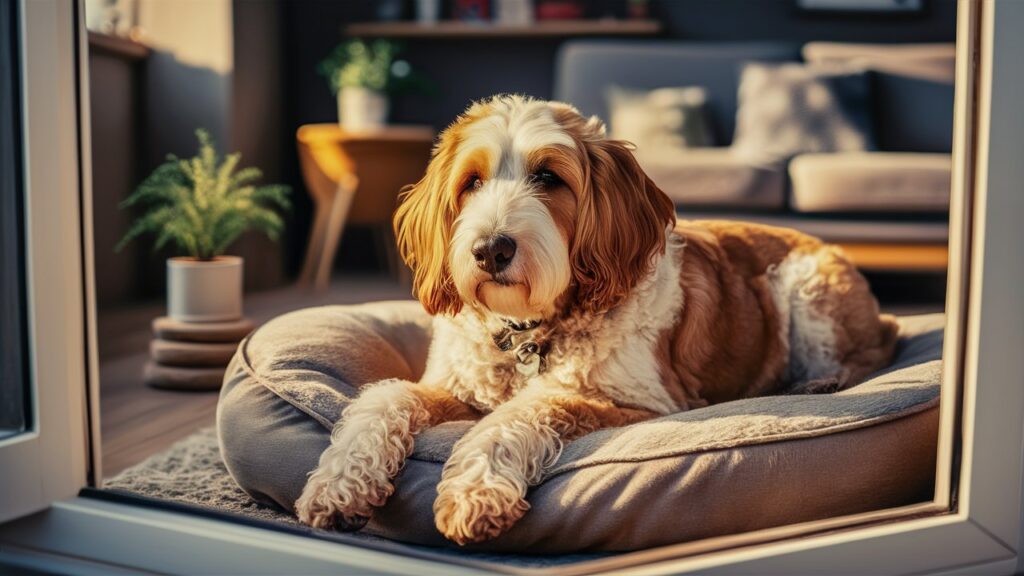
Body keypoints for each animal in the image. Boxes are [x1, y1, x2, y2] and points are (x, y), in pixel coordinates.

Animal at [294, 94, 897, 541]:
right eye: (471, 183)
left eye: (548, 178)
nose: (490, 249)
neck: (530, 332)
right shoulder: (455, 387)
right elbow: (386, 395)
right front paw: (339, 482)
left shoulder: (640, 404)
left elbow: (525, 411)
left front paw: (474, 491)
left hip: (807, 288)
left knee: (870, 352)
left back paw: (822, 383)